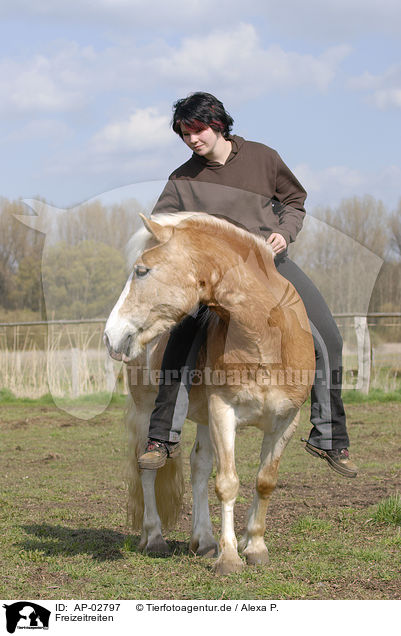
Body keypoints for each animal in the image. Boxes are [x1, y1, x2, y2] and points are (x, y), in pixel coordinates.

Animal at [104, 211, 316, 572]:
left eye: (141, 270)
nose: (110, 335)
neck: (265, 340)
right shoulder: (223, 411)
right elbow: (228, 483)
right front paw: (229, 557)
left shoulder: (286, 421)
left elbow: (265, 481)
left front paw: (254, 546)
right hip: (149, 411)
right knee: (147, 468)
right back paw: (154, 537)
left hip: (203, 419)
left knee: (199, 466)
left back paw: (202, 540)